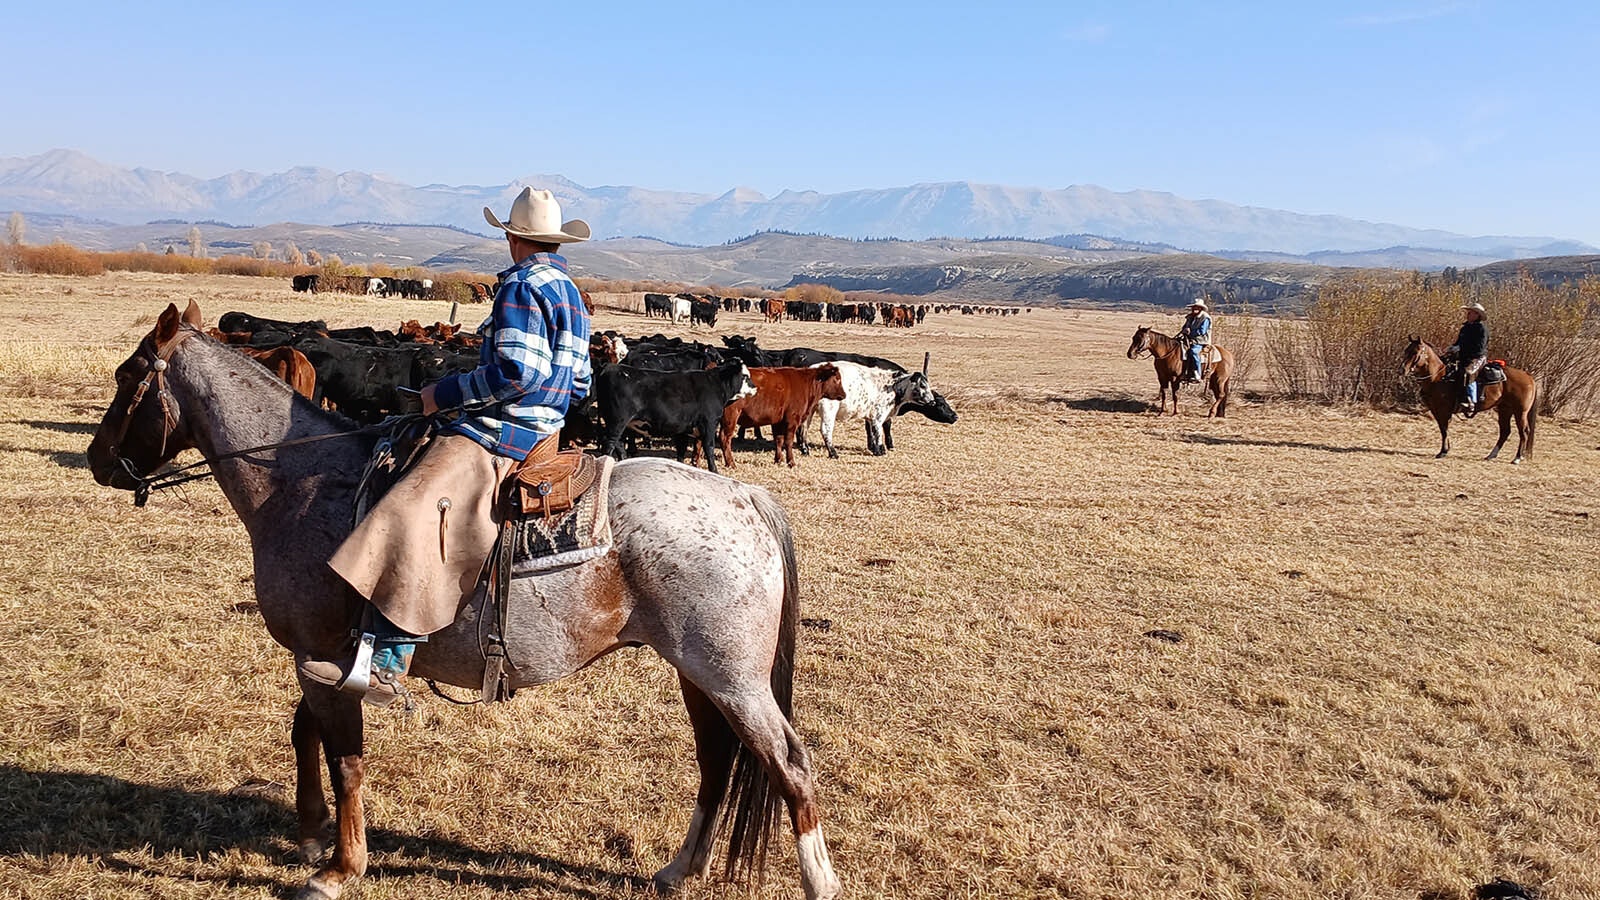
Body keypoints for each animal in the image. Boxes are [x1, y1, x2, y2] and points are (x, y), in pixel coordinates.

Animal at [720, 361, 851, 464]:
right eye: (837, 379)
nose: (844, 395)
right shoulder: (792, 419)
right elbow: (788, 441)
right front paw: (791, 462)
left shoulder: (777, 420)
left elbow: (779, 440)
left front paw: (778, 460)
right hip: (731, 415)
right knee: (725, 438)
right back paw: (731, 463)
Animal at [1401, 336, 1536, 461]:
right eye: (1406, 350)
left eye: (1415, 352)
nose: (1403, 369)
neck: (1439, 377)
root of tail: (1528, 376)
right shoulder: (1436, 410)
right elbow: (1443, 429)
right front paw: (1445, 450)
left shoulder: (1444, 411)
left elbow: (1444, 429)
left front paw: (1443, 451)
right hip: (1505, 410)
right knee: (1505, 432)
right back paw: (1491, 455)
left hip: (1520, 412)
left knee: (1524, 431)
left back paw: (1517, 458)